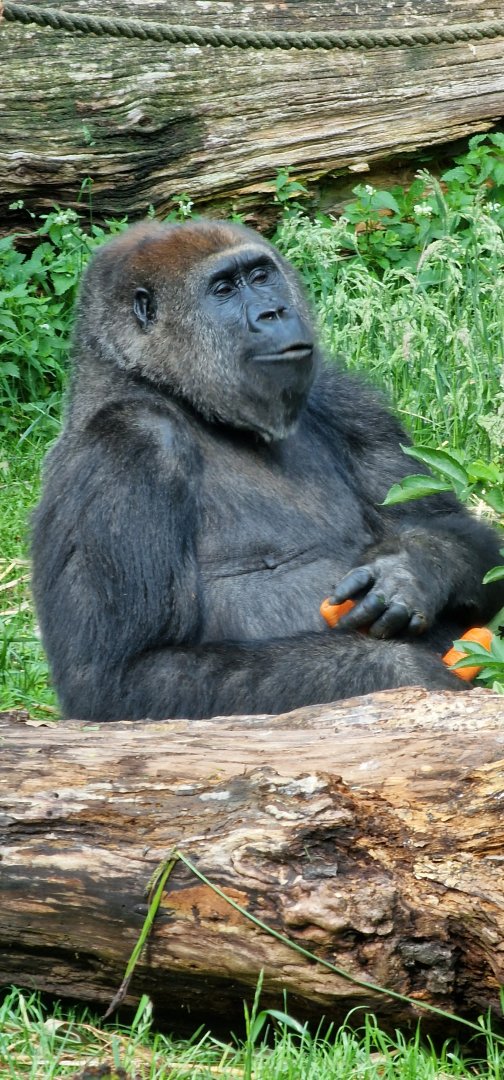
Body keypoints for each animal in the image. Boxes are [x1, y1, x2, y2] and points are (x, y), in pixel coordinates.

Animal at [31, 219, 504, 721]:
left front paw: (413, 567)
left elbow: (467, 544)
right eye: (222, 290)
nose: (274, 312)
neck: (175, 395)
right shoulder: (124, 446)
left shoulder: (344, 398)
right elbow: (119, 677)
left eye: (260, 277)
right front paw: (413, 673)